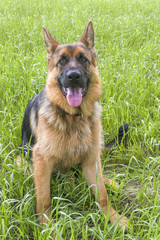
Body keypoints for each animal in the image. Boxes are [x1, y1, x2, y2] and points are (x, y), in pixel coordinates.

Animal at [18, 21, 129, 232]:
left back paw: (110, 182)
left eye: (83, 59)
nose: (73, 76)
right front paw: (47, 227)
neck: (74, 117)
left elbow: (102, 194)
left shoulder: (91, 158)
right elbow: (44, 199)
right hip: (24, 161)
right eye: (61, 61)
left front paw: (114, 218)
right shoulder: (41, 160)